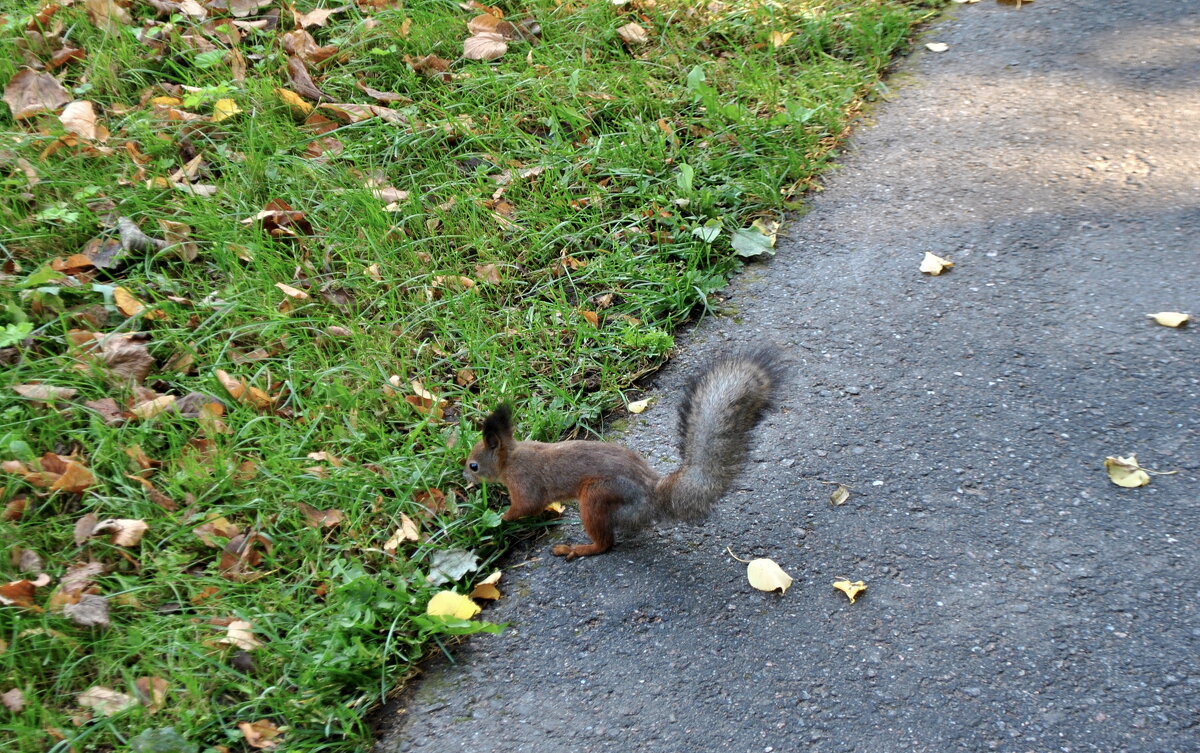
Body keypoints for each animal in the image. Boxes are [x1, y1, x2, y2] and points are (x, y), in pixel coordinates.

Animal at [463, 347, 782, 558]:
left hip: (597, 496)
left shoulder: (524, 482)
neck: (511, 459)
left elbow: (526, 506)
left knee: (605, 543)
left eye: (474, 465)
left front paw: (499, 519)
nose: (466, 478)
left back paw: (578, 548)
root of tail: (651, 496)